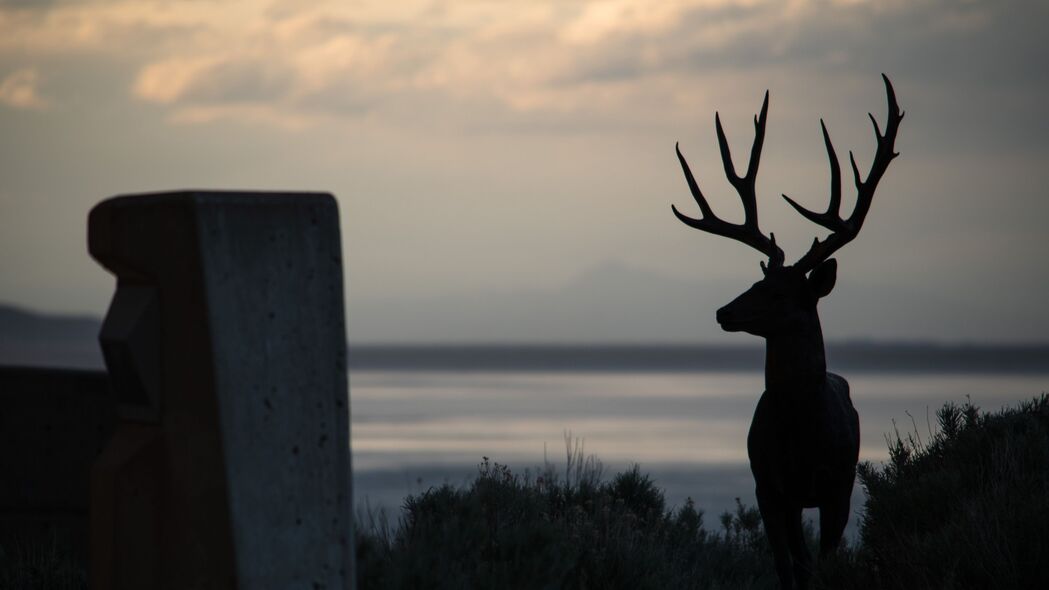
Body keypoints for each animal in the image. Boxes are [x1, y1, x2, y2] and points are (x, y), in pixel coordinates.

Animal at [671, 75, 902, 583]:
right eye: (758, 281)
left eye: (780, 293)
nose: (724, 312)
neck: (800, 434)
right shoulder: (770, 489)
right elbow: (787, 567)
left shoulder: (837, 489)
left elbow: (823, 563)